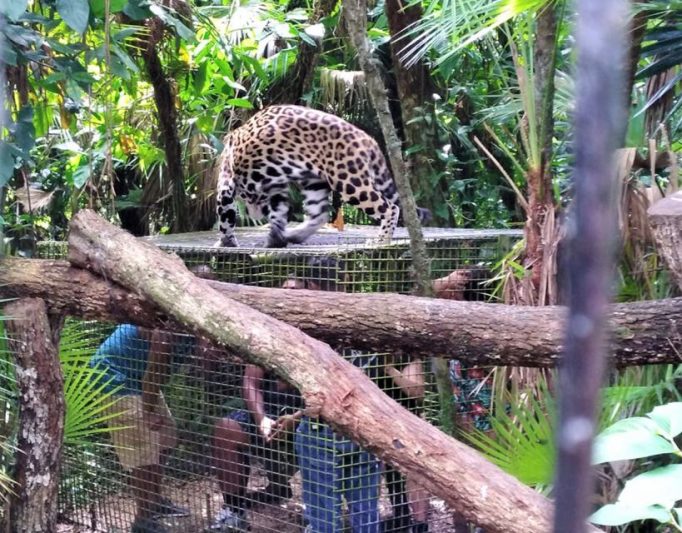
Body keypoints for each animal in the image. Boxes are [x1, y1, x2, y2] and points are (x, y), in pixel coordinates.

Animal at [214, 105, 430, 248]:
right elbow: (279, 212)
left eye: (248, 197)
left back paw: (381, 241)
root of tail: (369, 139)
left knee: (390, 207)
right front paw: (276, 238)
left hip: (349, 180)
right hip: (314, 181)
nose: (254, 215)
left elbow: (226, 216)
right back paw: (295, 236)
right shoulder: (277, 187)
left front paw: (226, 242)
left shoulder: (226, 184)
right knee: (320, 214)